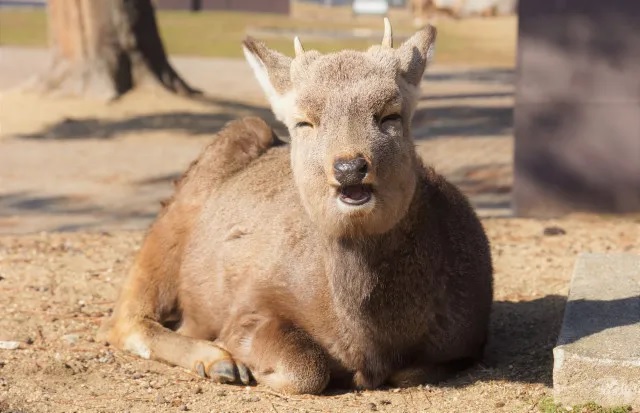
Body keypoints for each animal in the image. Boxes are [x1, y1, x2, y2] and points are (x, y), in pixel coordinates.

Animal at [97, 20, 492, 394]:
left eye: (391, 115)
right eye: (304, 121)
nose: (349, 167)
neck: (367, 339)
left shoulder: (466, 341)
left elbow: (413, 370)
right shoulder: (251, 303)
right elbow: (306, 367)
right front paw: (248, 364)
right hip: (173, 219)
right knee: (123, 320)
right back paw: (218, 362)